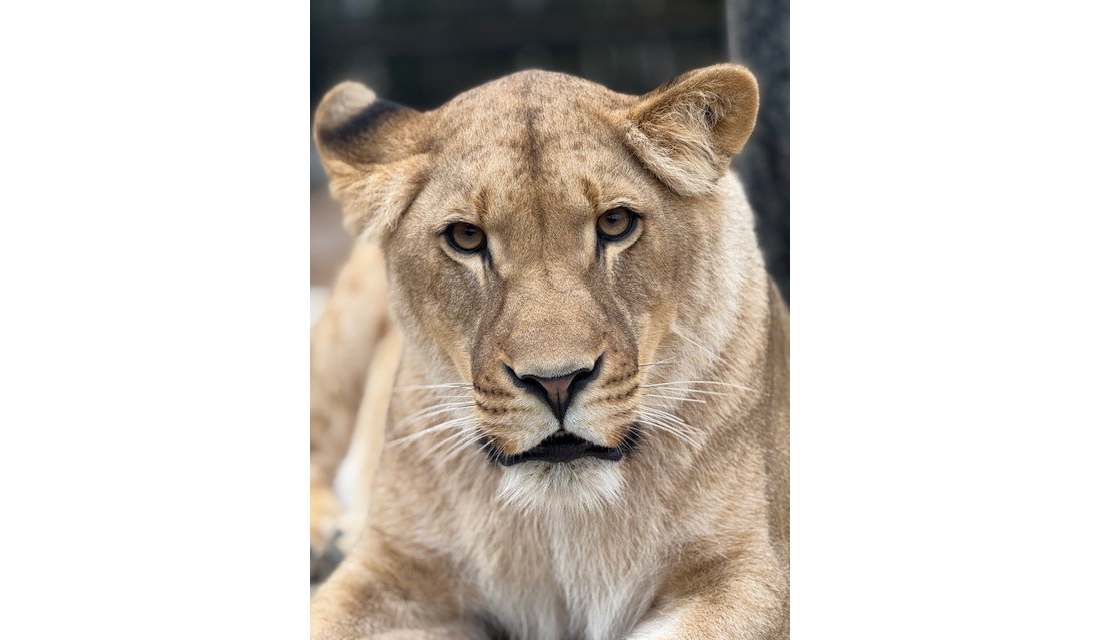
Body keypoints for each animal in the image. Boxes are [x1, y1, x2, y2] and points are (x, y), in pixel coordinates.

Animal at [309, 64, 789, 639]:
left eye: (615, 224)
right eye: (466, 236)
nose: (556, 382)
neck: (560, 519)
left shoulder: (750, 573)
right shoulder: (389, 568)